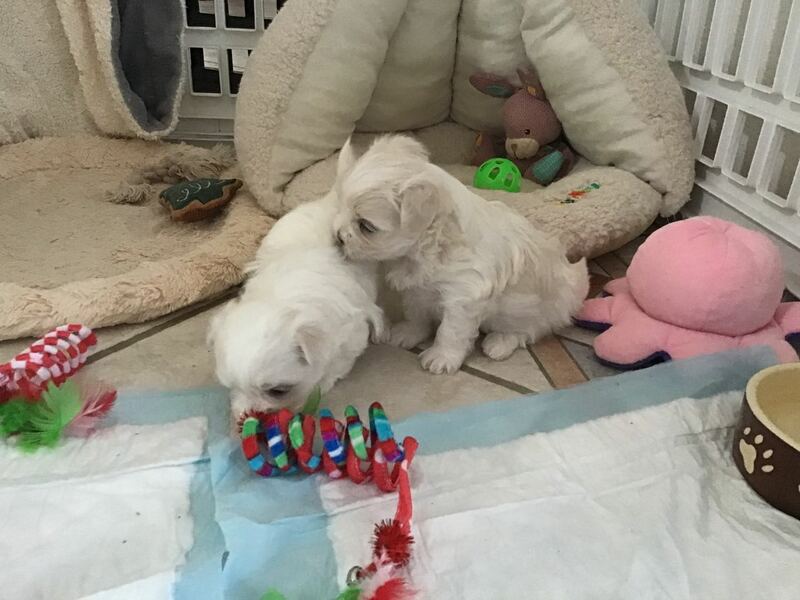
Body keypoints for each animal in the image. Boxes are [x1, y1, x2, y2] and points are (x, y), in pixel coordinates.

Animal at [208, 192, 385, 417]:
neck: (281, 300)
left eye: (278, 391)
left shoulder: (351, 335)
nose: (250, 413)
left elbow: (338, 363)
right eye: (231, 387)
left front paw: (324, 381)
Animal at [332, 135, 589, 375]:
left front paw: (442, 357)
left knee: (529, 330)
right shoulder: (416, 288)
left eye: (366, 226)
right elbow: (416, 313)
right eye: (340, 209)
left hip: (538, 310)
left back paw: (500, 343)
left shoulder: (465, 294)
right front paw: (408, 332)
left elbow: (451, 331)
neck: (431, 246)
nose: (338, 236)